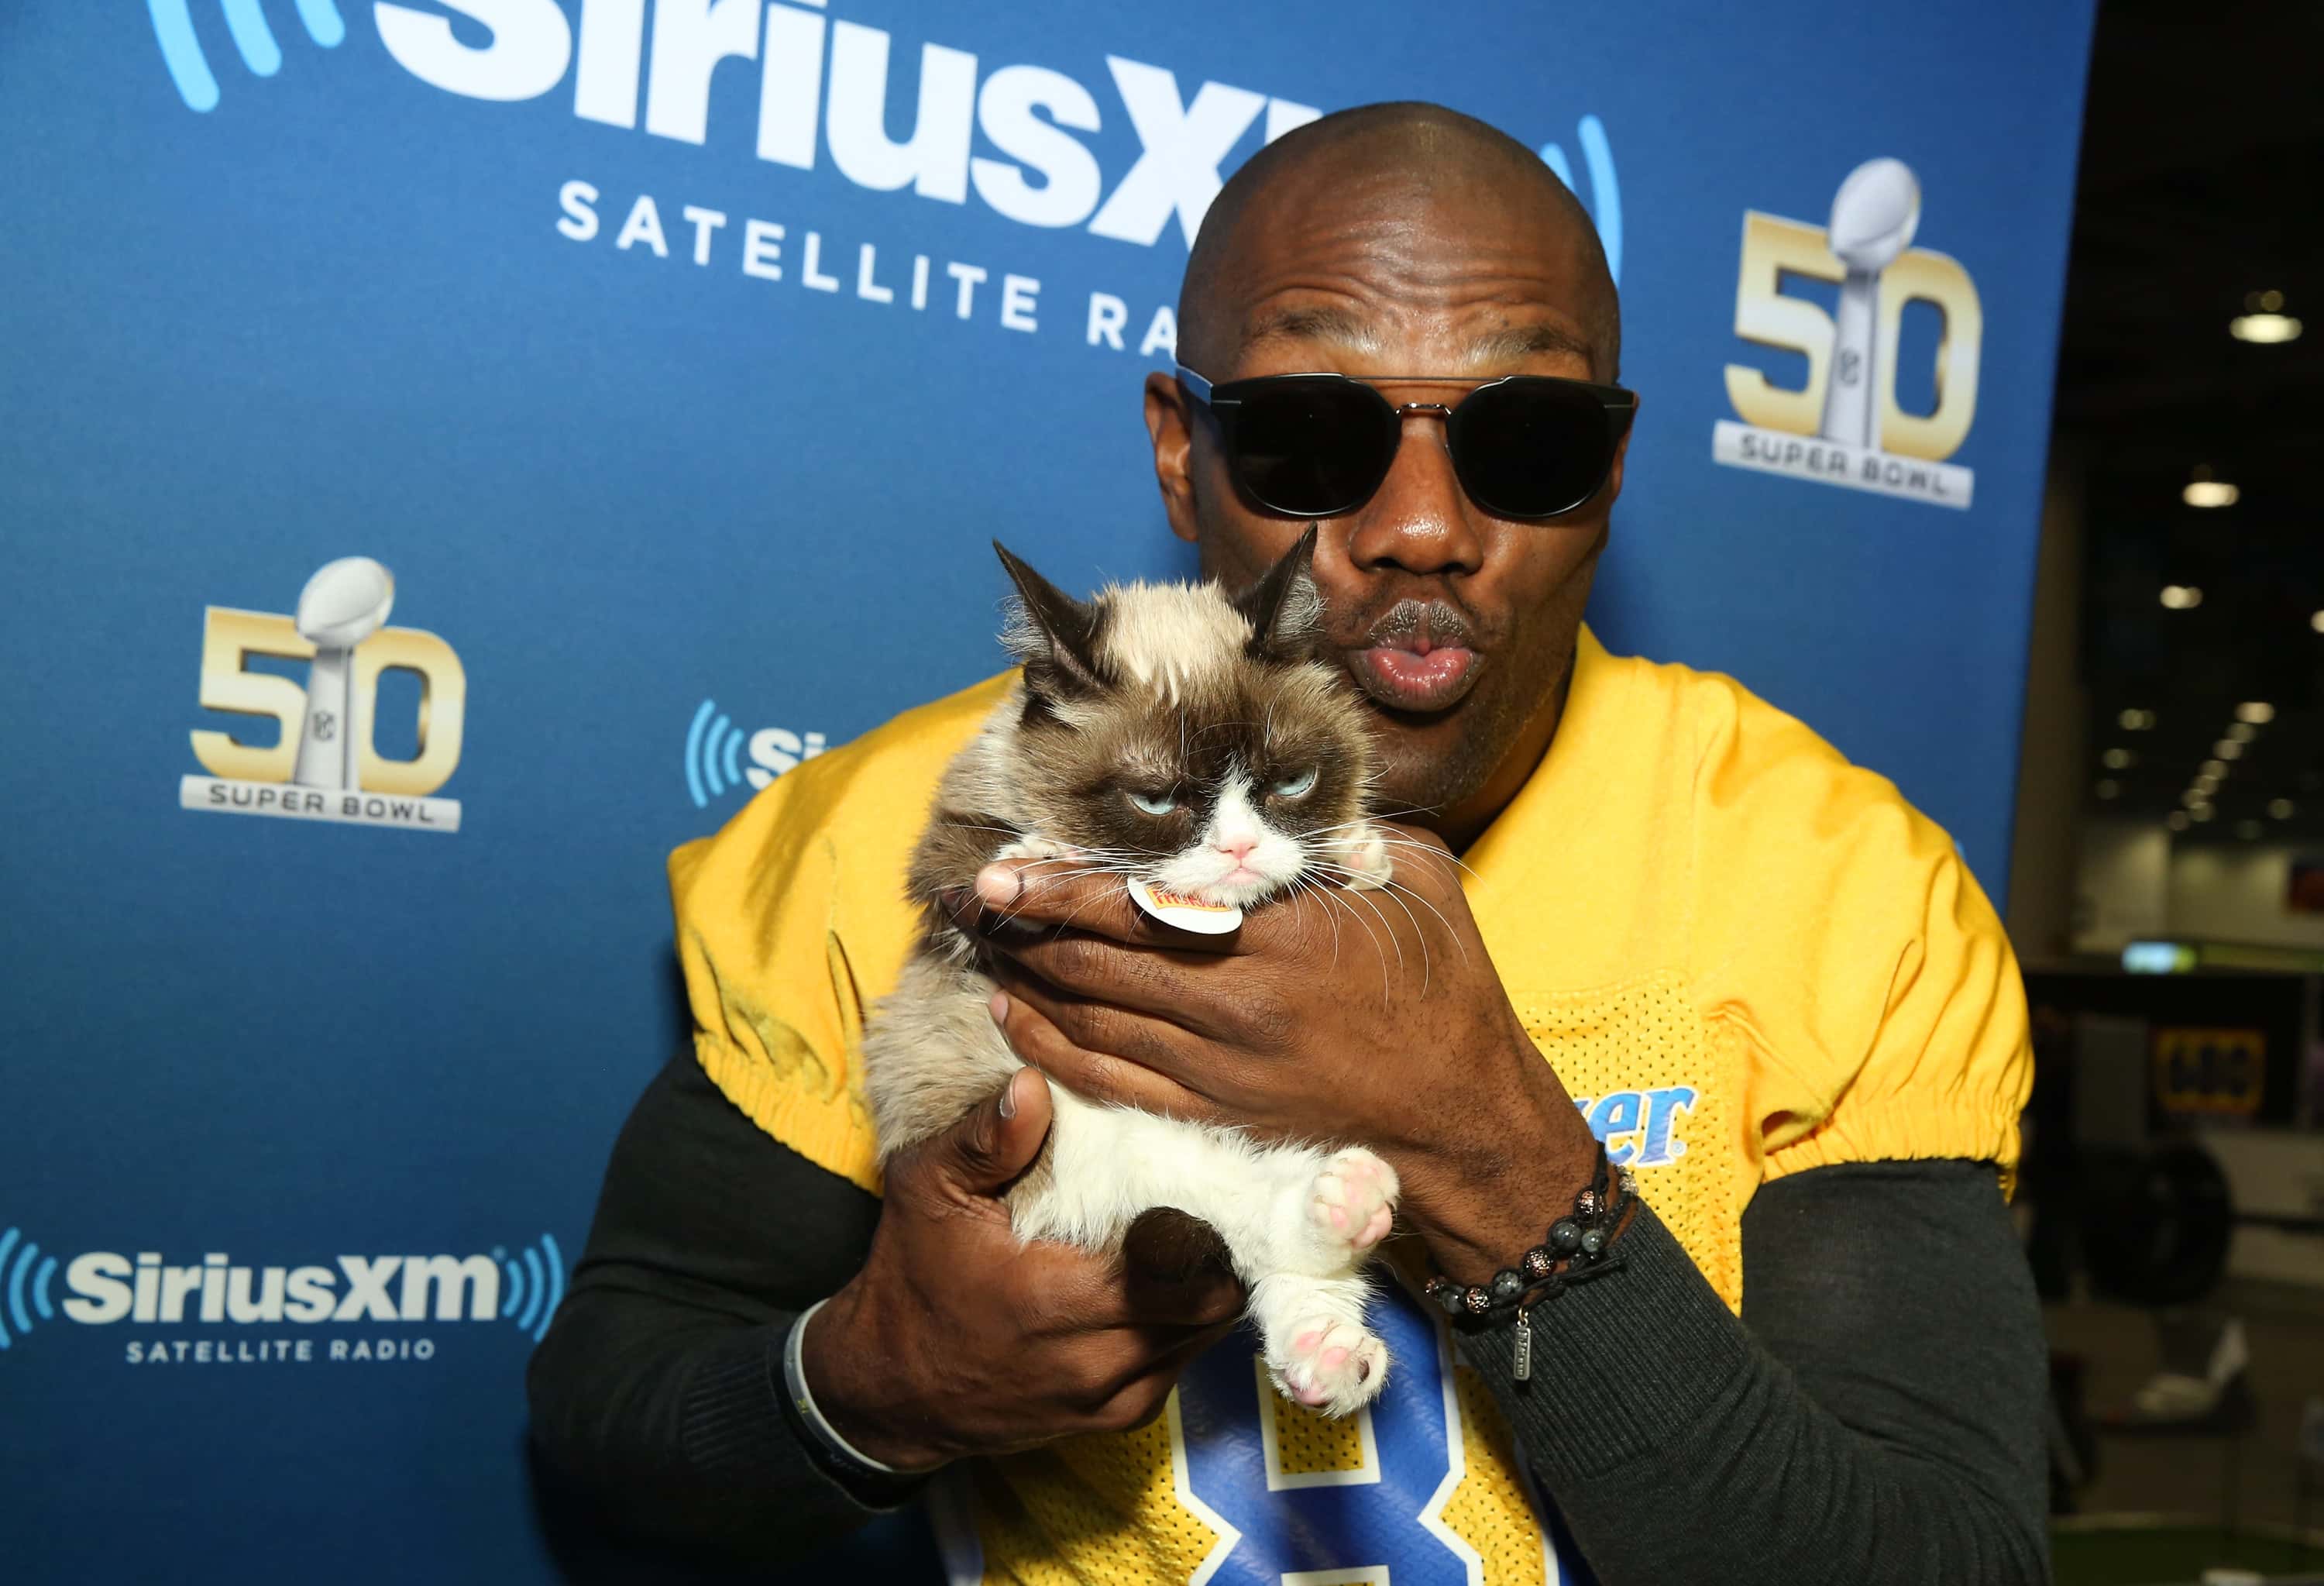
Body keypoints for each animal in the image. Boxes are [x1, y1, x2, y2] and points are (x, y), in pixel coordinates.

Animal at [862, 529, 1406, 1417]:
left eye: (1290, 783)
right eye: (1155, 801)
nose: (1240, 849)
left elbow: (1348, 855)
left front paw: (1358, 855)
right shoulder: (945, 859)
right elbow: (987, 866)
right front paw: (1041, 860)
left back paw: (1331, 1330)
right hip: (1076, 1145)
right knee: (1222, 1214)